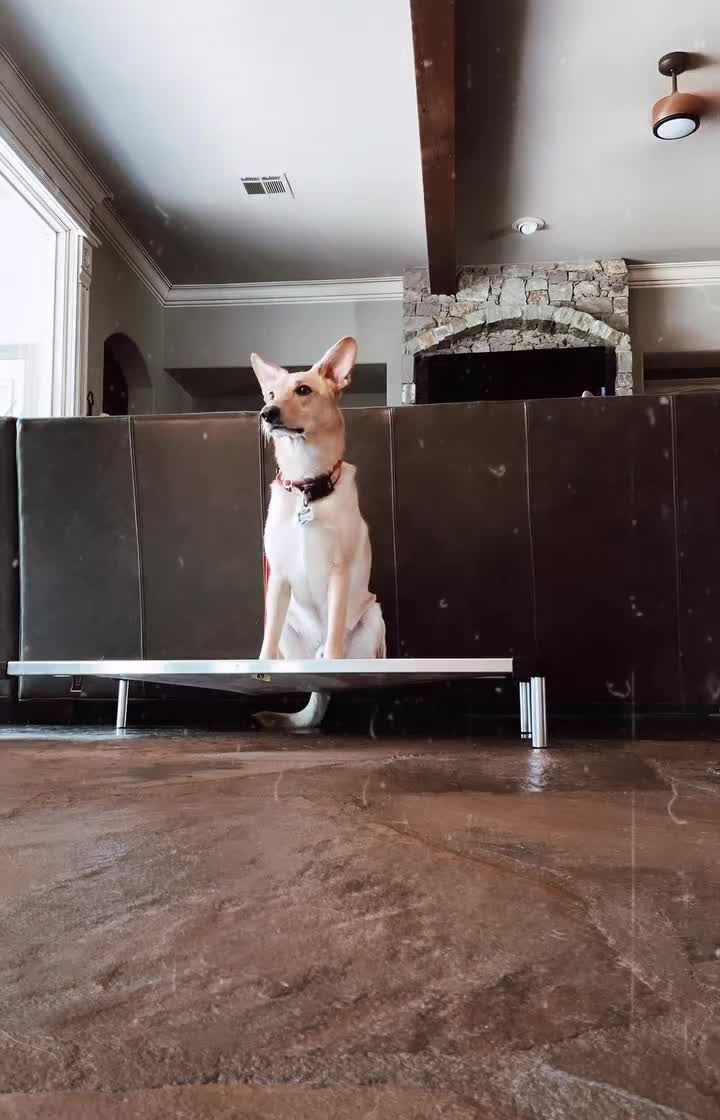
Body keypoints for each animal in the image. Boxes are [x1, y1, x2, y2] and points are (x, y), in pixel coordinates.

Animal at [251, 336, 386, 729]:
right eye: (270, 393)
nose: (267, 413)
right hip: (290, 625)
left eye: (303, 390)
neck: (306, 486)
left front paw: (332, 653)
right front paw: (261, 664)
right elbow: (267, 637)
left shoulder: (339, 571)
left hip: (375, 617)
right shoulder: (277, 577)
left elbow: (335, 624)